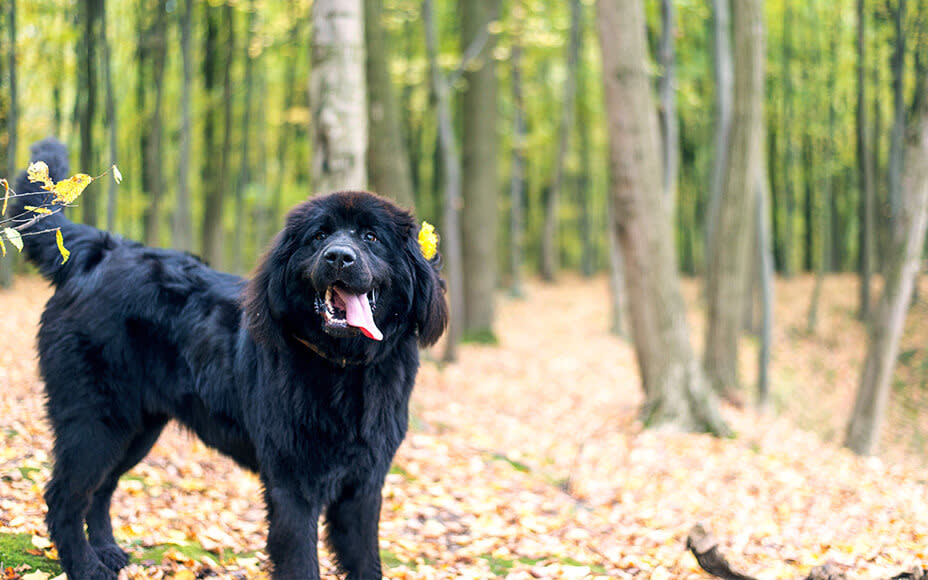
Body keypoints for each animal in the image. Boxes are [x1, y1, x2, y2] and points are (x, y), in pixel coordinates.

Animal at [12, 140, 448, 580]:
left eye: (371, 236)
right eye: (320, 236)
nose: (339, 257)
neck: (344, 370)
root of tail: (100, 252)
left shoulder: (364, 486)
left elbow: (365, 559)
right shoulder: (293, 484)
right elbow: (301, 560)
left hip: (136, 428)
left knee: (101, 489)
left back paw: (107, 551)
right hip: (95, 421)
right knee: (65, 497)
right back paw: (86, 566)